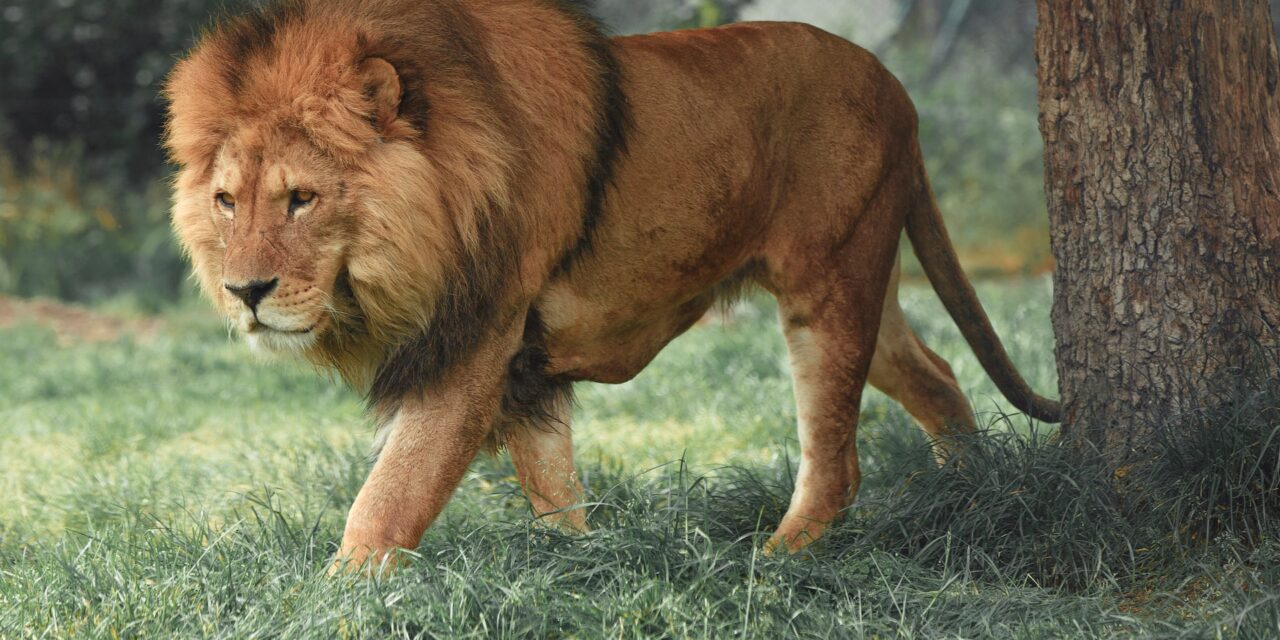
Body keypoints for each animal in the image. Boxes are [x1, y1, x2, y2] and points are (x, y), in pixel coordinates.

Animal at [165, 0, 1060, 570]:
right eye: (226, 201)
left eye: (301, 198)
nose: (246, 292)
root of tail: (897, 88)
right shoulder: (521, 368)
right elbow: (554, 491)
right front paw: (584, 567)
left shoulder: (473, 345)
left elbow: (389, 499)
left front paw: (337, 600)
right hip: (861, 278)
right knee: (936, 373)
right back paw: (971, 495)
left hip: (829, 283)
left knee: (837, 462)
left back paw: (772, 564)